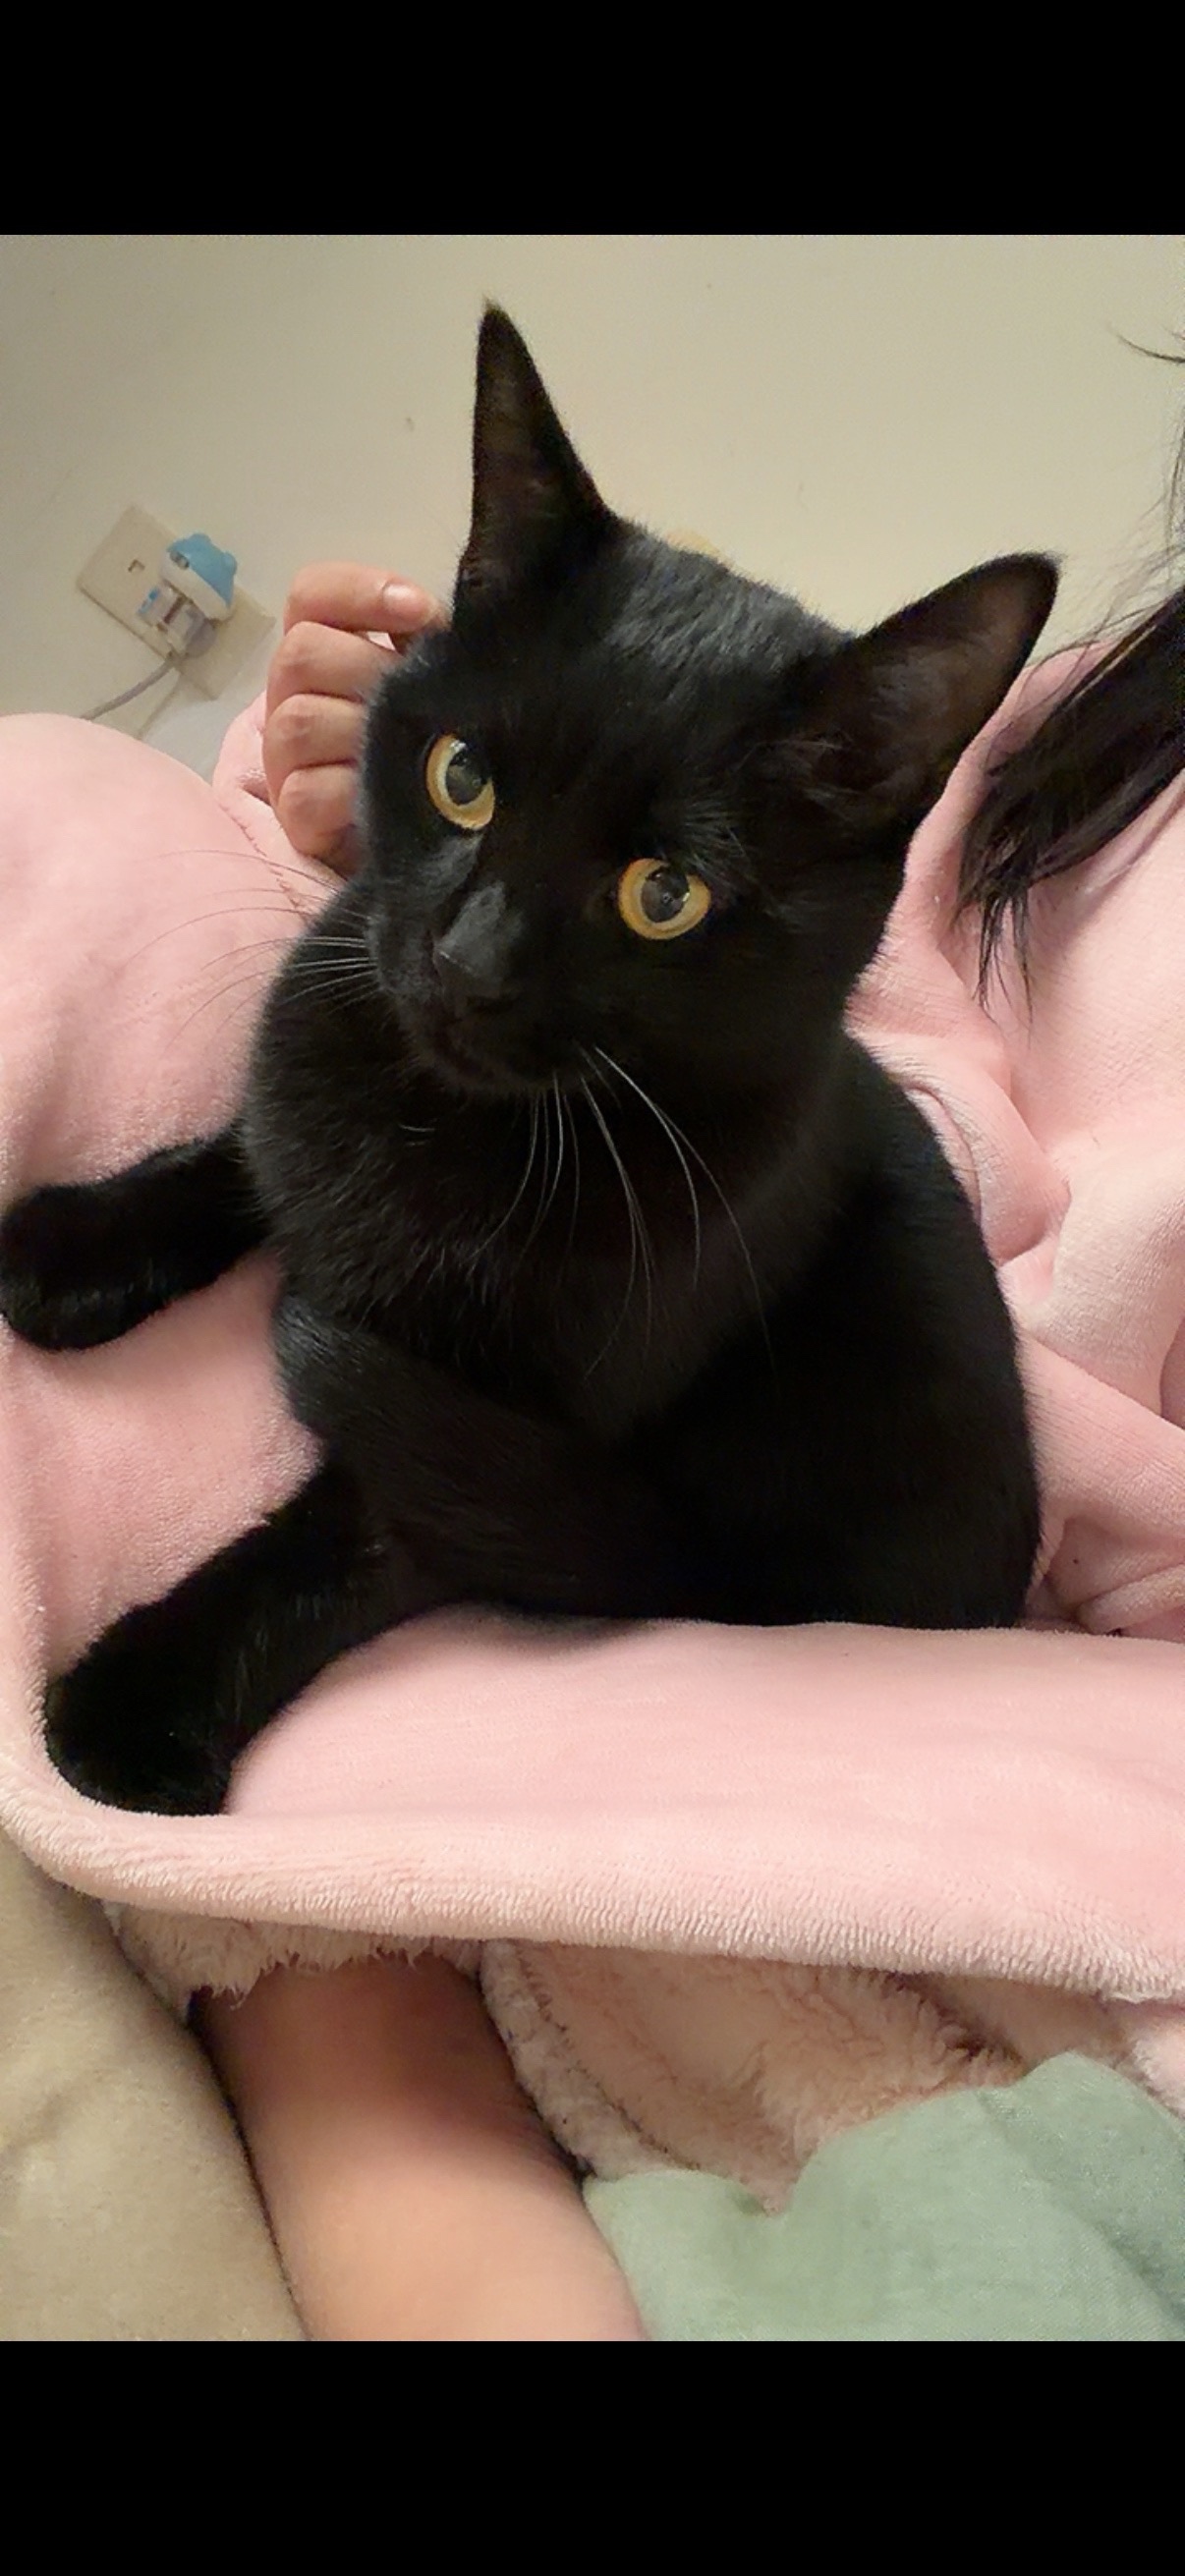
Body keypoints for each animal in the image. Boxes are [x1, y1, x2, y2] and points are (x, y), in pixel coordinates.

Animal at [0, 307, 1055, 1815]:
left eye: (663, 894)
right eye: (462, 776)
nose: (468, 957)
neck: (444, 1127)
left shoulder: (506, 1428)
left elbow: (328, 1549)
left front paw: (134, 1705)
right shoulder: (320, 1047)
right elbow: (247, 1149)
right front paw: (77, 1240)